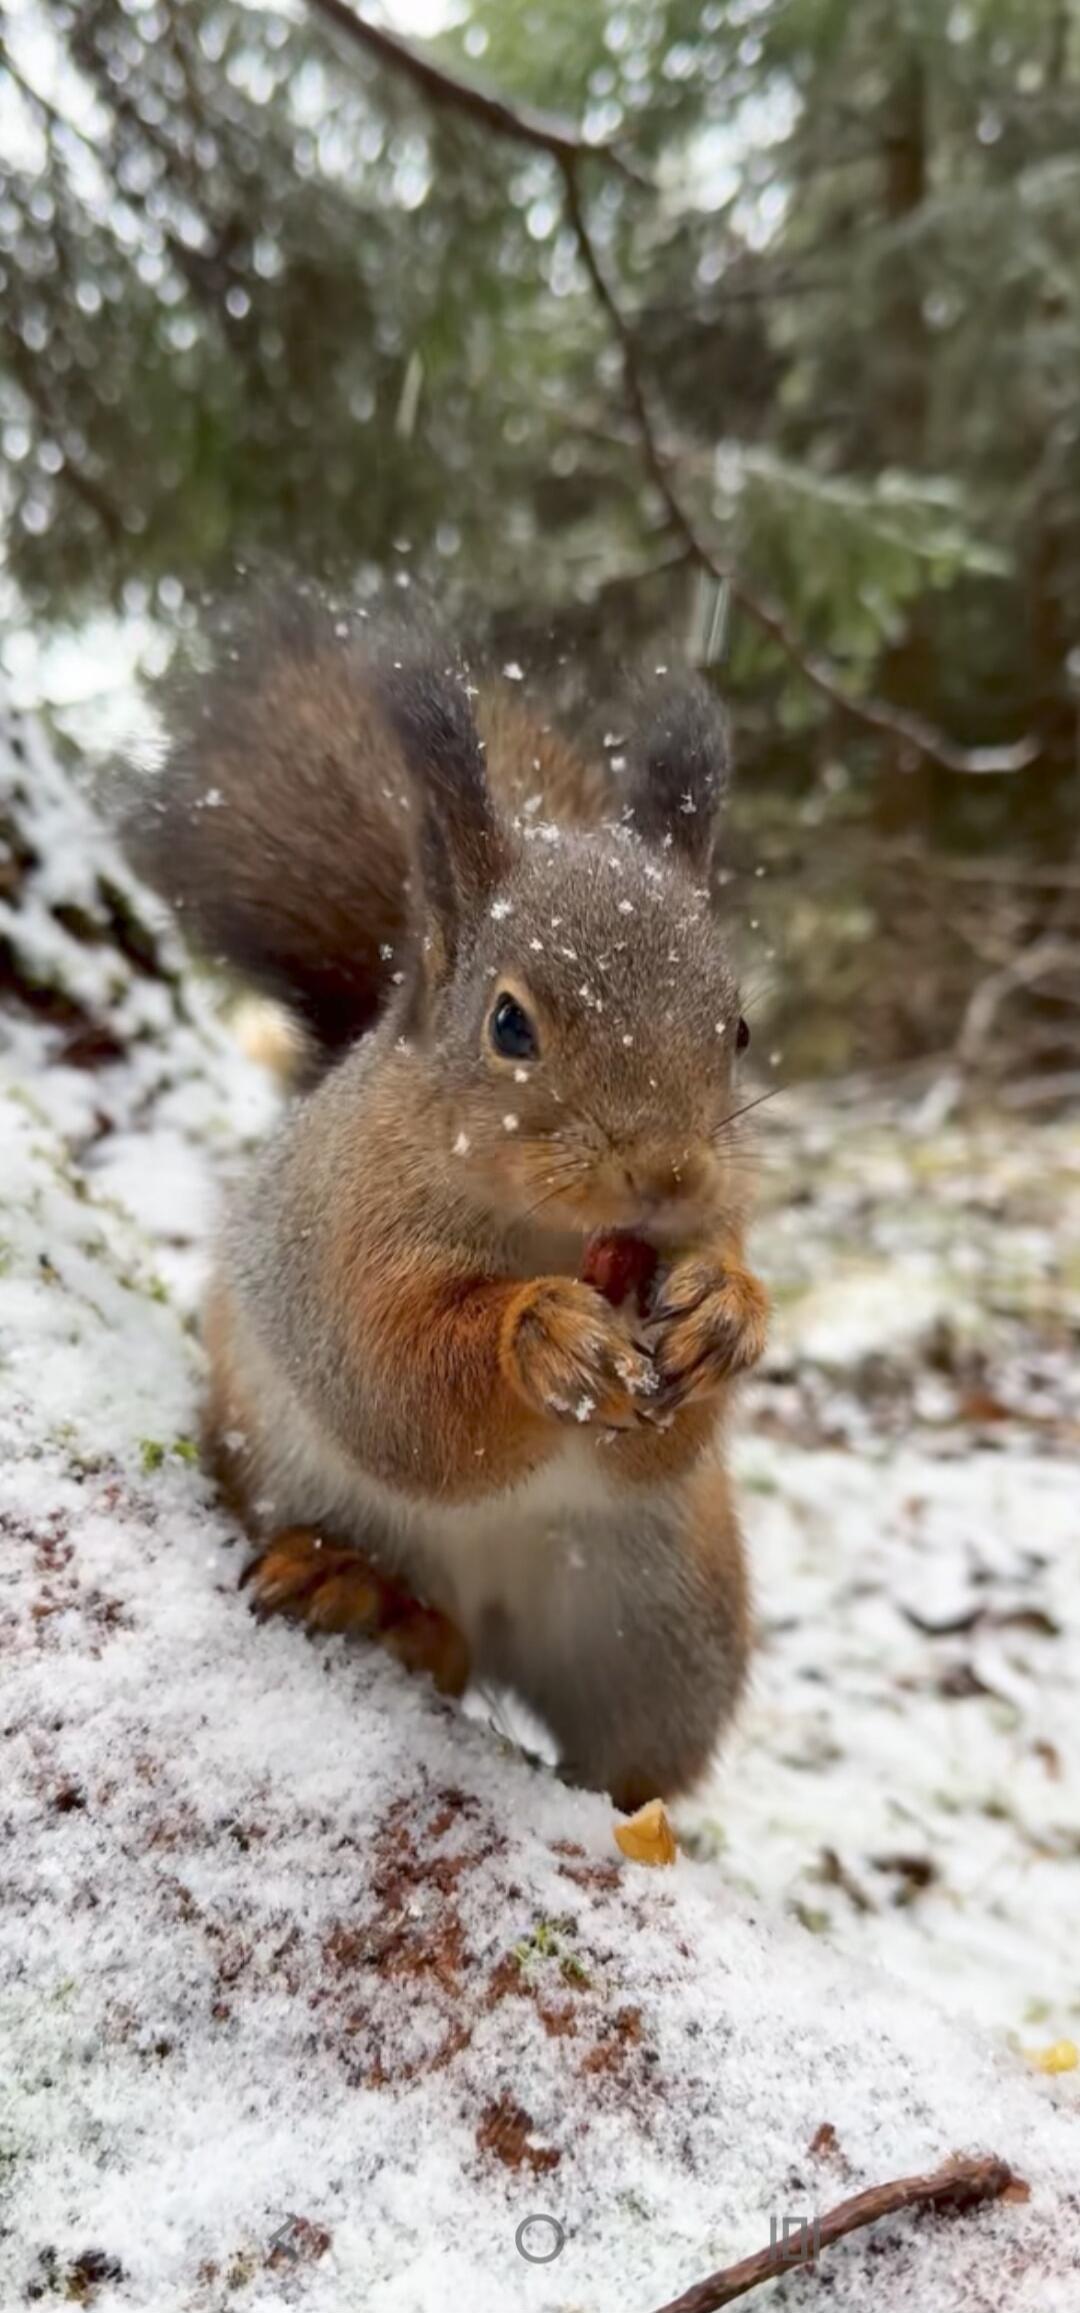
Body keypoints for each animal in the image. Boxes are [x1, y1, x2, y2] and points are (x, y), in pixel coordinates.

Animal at [126, 590, 769, 1811]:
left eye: (739, 1028)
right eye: (509, 1023)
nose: (666, 1175)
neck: (553, 1235)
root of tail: (500, 1605)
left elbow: (668, 1436)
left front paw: (725, 1312)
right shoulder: (339, 1235)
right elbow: (400, 1382)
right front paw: (542, 1335)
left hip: (663, 1628)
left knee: (630, 1760)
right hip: (304, 1484)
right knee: (445, 1640)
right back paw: (368, 1597)